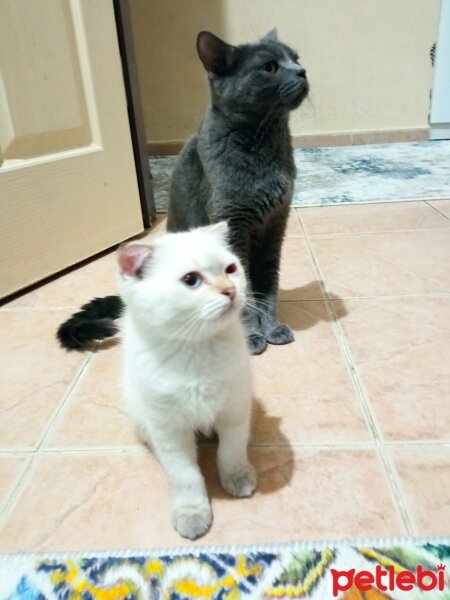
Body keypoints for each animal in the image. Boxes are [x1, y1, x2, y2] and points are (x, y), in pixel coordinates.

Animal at [56, 29, 308, 356]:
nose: (302, 71)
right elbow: (246, 289)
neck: (264, 142)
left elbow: (267, 286)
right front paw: (251, 335)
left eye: (296, 59)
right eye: (270, 67)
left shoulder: (275, 227)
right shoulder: (234, 224)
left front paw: (272, 328)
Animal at [118, 221, 256, 540]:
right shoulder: (169, 430)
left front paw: (237, 476)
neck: (196, 350)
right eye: (191, 280)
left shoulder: (235, 408)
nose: (230, 290)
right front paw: (192, 513)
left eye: (231, 268)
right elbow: (185, 476)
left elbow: (232, 450)